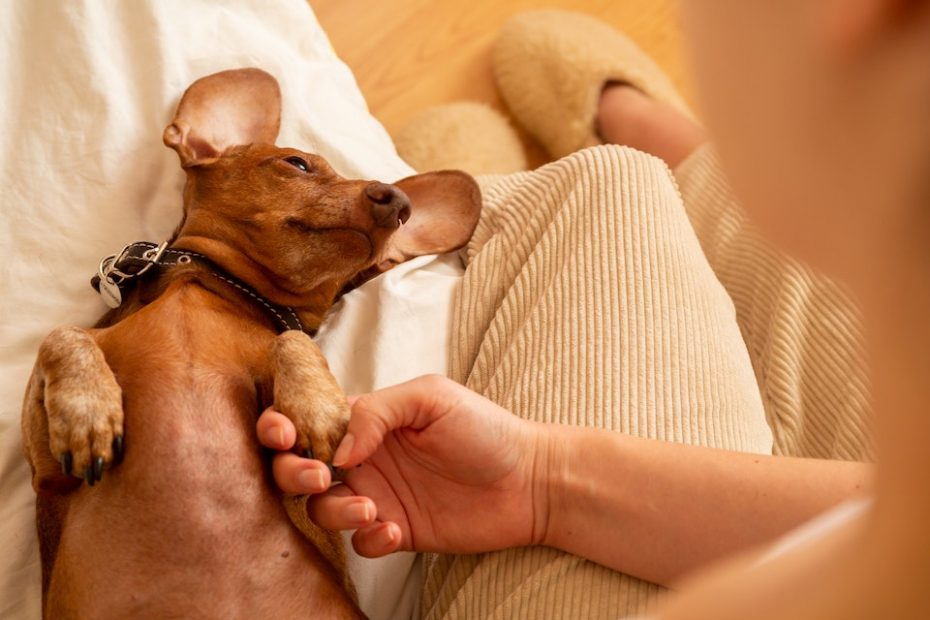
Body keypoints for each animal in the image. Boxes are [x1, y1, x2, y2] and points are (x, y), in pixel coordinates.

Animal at [20, 69, 482, 620]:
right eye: (297, 163)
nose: (399, 203)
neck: (212, 289)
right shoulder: (49, 476)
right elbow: (61, 334)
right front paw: (86, 411)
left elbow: (292, 340)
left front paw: (315, 406)